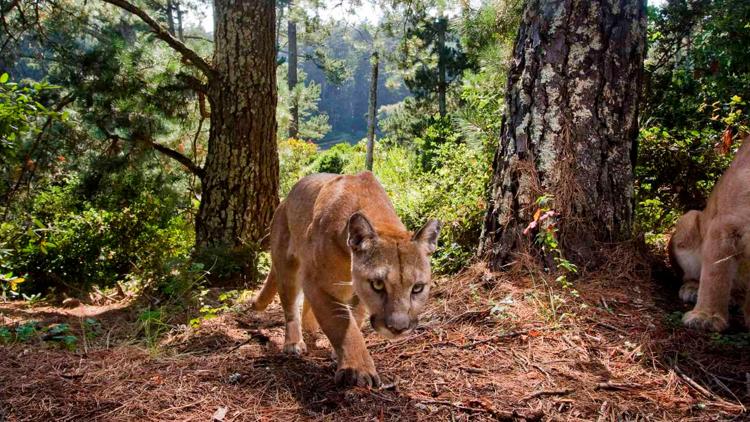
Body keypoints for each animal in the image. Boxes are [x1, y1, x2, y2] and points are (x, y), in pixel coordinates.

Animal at [251, 171, 440, 386]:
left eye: (417, 288)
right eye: (378, 284)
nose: (398, 328)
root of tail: (283, 203)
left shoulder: (354, 291)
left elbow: (354, 318)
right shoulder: (319, 283)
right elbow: (342, 324)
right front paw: (358, 369)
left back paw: (312, 330)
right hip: (288, 268)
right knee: (291, 308)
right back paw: (293, 343)